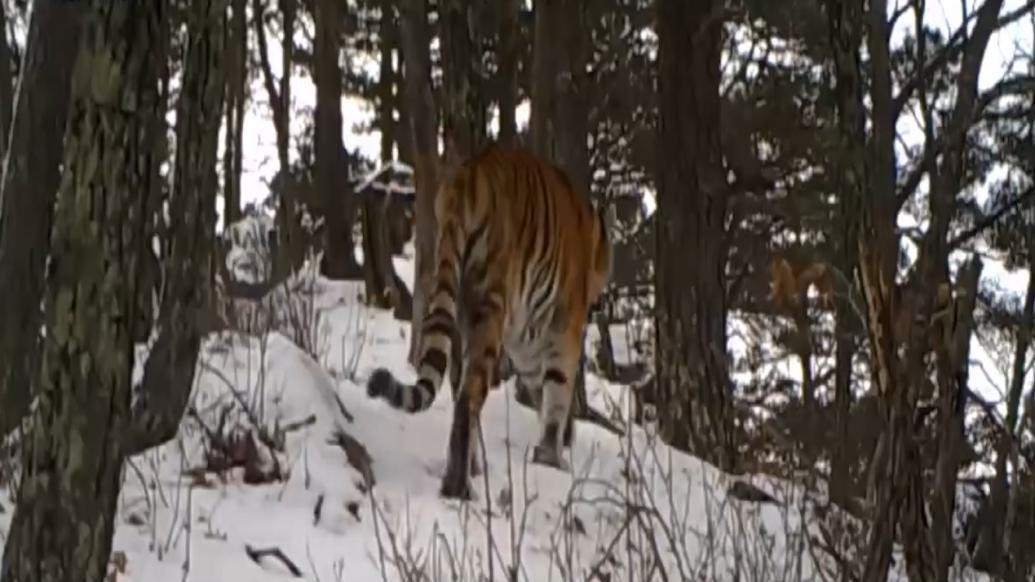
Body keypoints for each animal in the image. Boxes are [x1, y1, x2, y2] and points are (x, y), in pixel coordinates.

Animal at [368, 141, 608, 499]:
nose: (600, 297)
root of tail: (466, 179)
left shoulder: (528, 342)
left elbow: (542, 392)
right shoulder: (562, 328)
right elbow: (557, 392)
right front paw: (552, 457)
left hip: (455, 300)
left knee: (459, 387)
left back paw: (472, 468)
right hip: (490, 305)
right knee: (468, 397)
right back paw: (459, 485)